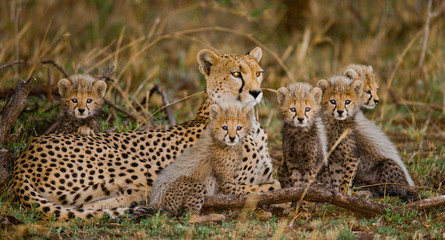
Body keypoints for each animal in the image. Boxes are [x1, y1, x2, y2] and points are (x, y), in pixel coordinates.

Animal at [11, 47, 278, 219]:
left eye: (258, 73)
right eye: (236, 74)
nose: (256, 93)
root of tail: (24, 157)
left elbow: (270, 183)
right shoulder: (229, 184)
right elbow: (268, 187)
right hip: (136, 165)